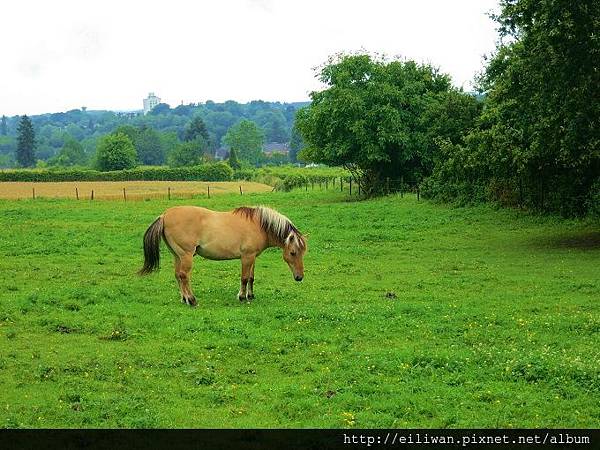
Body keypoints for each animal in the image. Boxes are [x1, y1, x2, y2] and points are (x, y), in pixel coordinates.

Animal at [139, 205, 308, 306]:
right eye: (293, 252)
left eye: (303, 252)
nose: (299, 277)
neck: (259, 225)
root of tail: (164, 215)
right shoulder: (247, 257)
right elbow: (244, 278)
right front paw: (242, 297)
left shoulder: (253, 257)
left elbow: (251, 278)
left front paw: (251, 296)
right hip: (186, 255)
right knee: (184, 275)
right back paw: (192, 300)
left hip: (177, 255)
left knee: (178, 275)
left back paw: (184, 299)